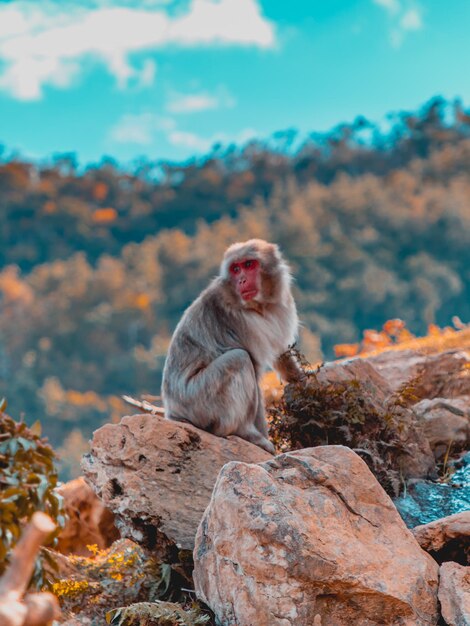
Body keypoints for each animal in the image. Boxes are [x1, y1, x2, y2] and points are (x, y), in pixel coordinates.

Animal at [160, 236, 302, 450]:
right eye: (236, 269)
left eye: (249, 265)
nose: (242, 280)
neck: (259, 306)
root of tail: (172, 411)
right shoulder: (240, 322)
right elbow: (255, 369)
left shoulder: (282, 301)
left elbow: (281, 355)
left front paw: (302, 378)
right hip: (197, 402)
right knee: (239, 358)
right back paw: (244, 431)